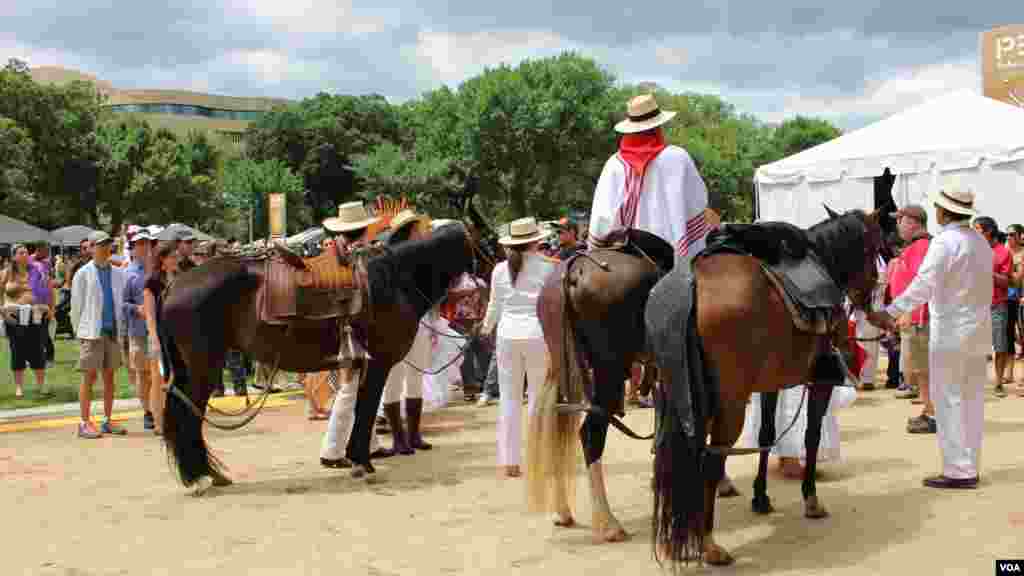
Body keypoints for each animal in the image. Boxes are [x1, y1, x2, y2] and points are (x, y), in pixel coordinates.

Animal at [158, 222, 479, 491]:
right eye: (485, 239)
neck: (394, 278)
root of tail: (175, 285)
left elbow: (360, 407)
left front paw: (353, 457)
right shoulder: (380, 363)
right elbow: (367, 408)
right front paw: (362, 461)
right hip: (204, 367)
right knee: (189, 411)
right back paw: (201, 475)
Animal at [651, 207, 884, 565]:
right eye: (873, 250)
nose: (871, 298)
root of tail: (692, 285)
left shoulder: (769, 385)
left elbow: (766, 436)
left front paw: (761, 498)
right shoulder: (820, 382)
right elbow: (811, 437)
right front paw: (810, 499)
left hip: (678, 397)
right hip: (728, 405)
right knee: (711, 460)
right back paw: (709, 544)